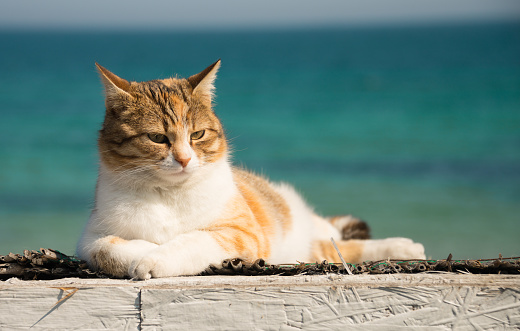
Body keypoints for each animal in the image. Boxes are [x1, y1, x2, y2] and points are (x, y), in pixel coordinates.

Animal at [78, 60, 426, 280]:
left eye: (197, 135)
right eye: (157, 138)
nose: (185, 159)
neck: (168, 194)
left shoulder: (240, 233)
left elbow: (193, 240)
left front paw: (155, 257)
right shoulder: (90, 238)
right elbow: (108, 249)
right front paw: (144, 251)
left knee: (339, 240)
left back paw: (406, 247)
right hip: (303, 250)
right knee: (333, 249)